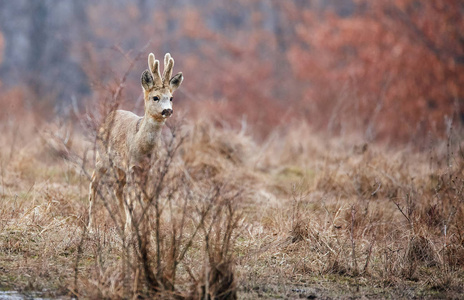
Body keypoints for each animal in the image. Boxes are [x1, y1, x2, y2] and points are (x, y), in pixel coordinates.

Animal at [89, 52, 184, 233]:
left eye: (171, 97)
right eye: (155, 97)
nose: (168, 110)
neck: (142, 149)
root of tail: (111, 113)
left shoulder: (149, 170)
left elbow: (147, 199)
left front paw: (149, 230)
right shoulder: (132, 167)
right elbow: (132, 199)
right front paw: (131, 230)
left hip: (119, 166)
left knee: (117, 190)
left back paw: (121, 223)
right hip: (102, 156)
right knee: (94, 182)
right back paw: (91, 227)